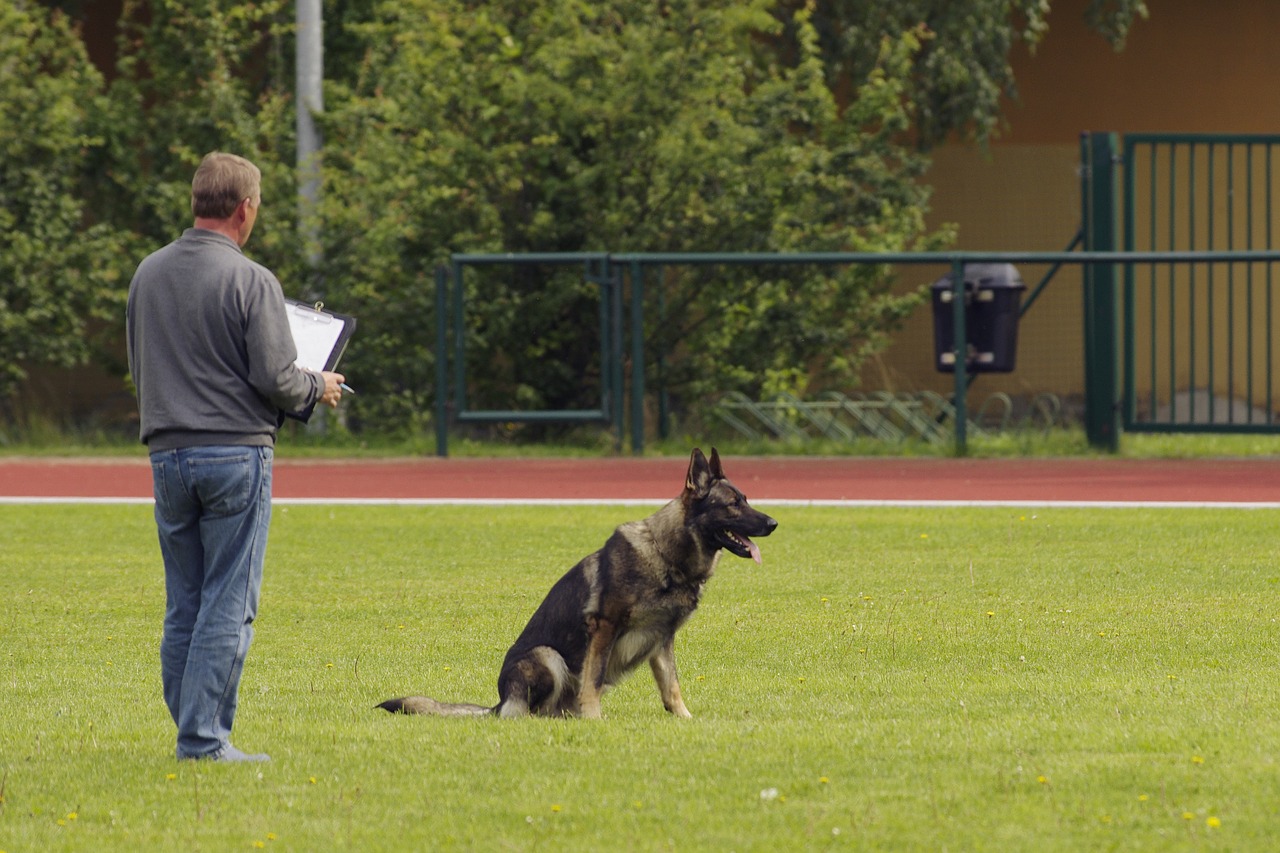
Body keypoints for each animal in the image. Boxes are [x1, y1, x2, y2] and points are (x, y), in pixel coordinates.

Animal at [376, 448, 778, 712]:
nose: (774, 523)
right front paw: (595, 721)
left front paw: (685, 721)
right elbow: (594, 681)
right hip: (548, 657)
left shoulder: (662, 640)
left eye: (746, 499)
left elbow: (672, 688)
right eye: (733, 505)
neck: (666, 557)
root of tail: (499, 703)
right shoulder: (604, 628)